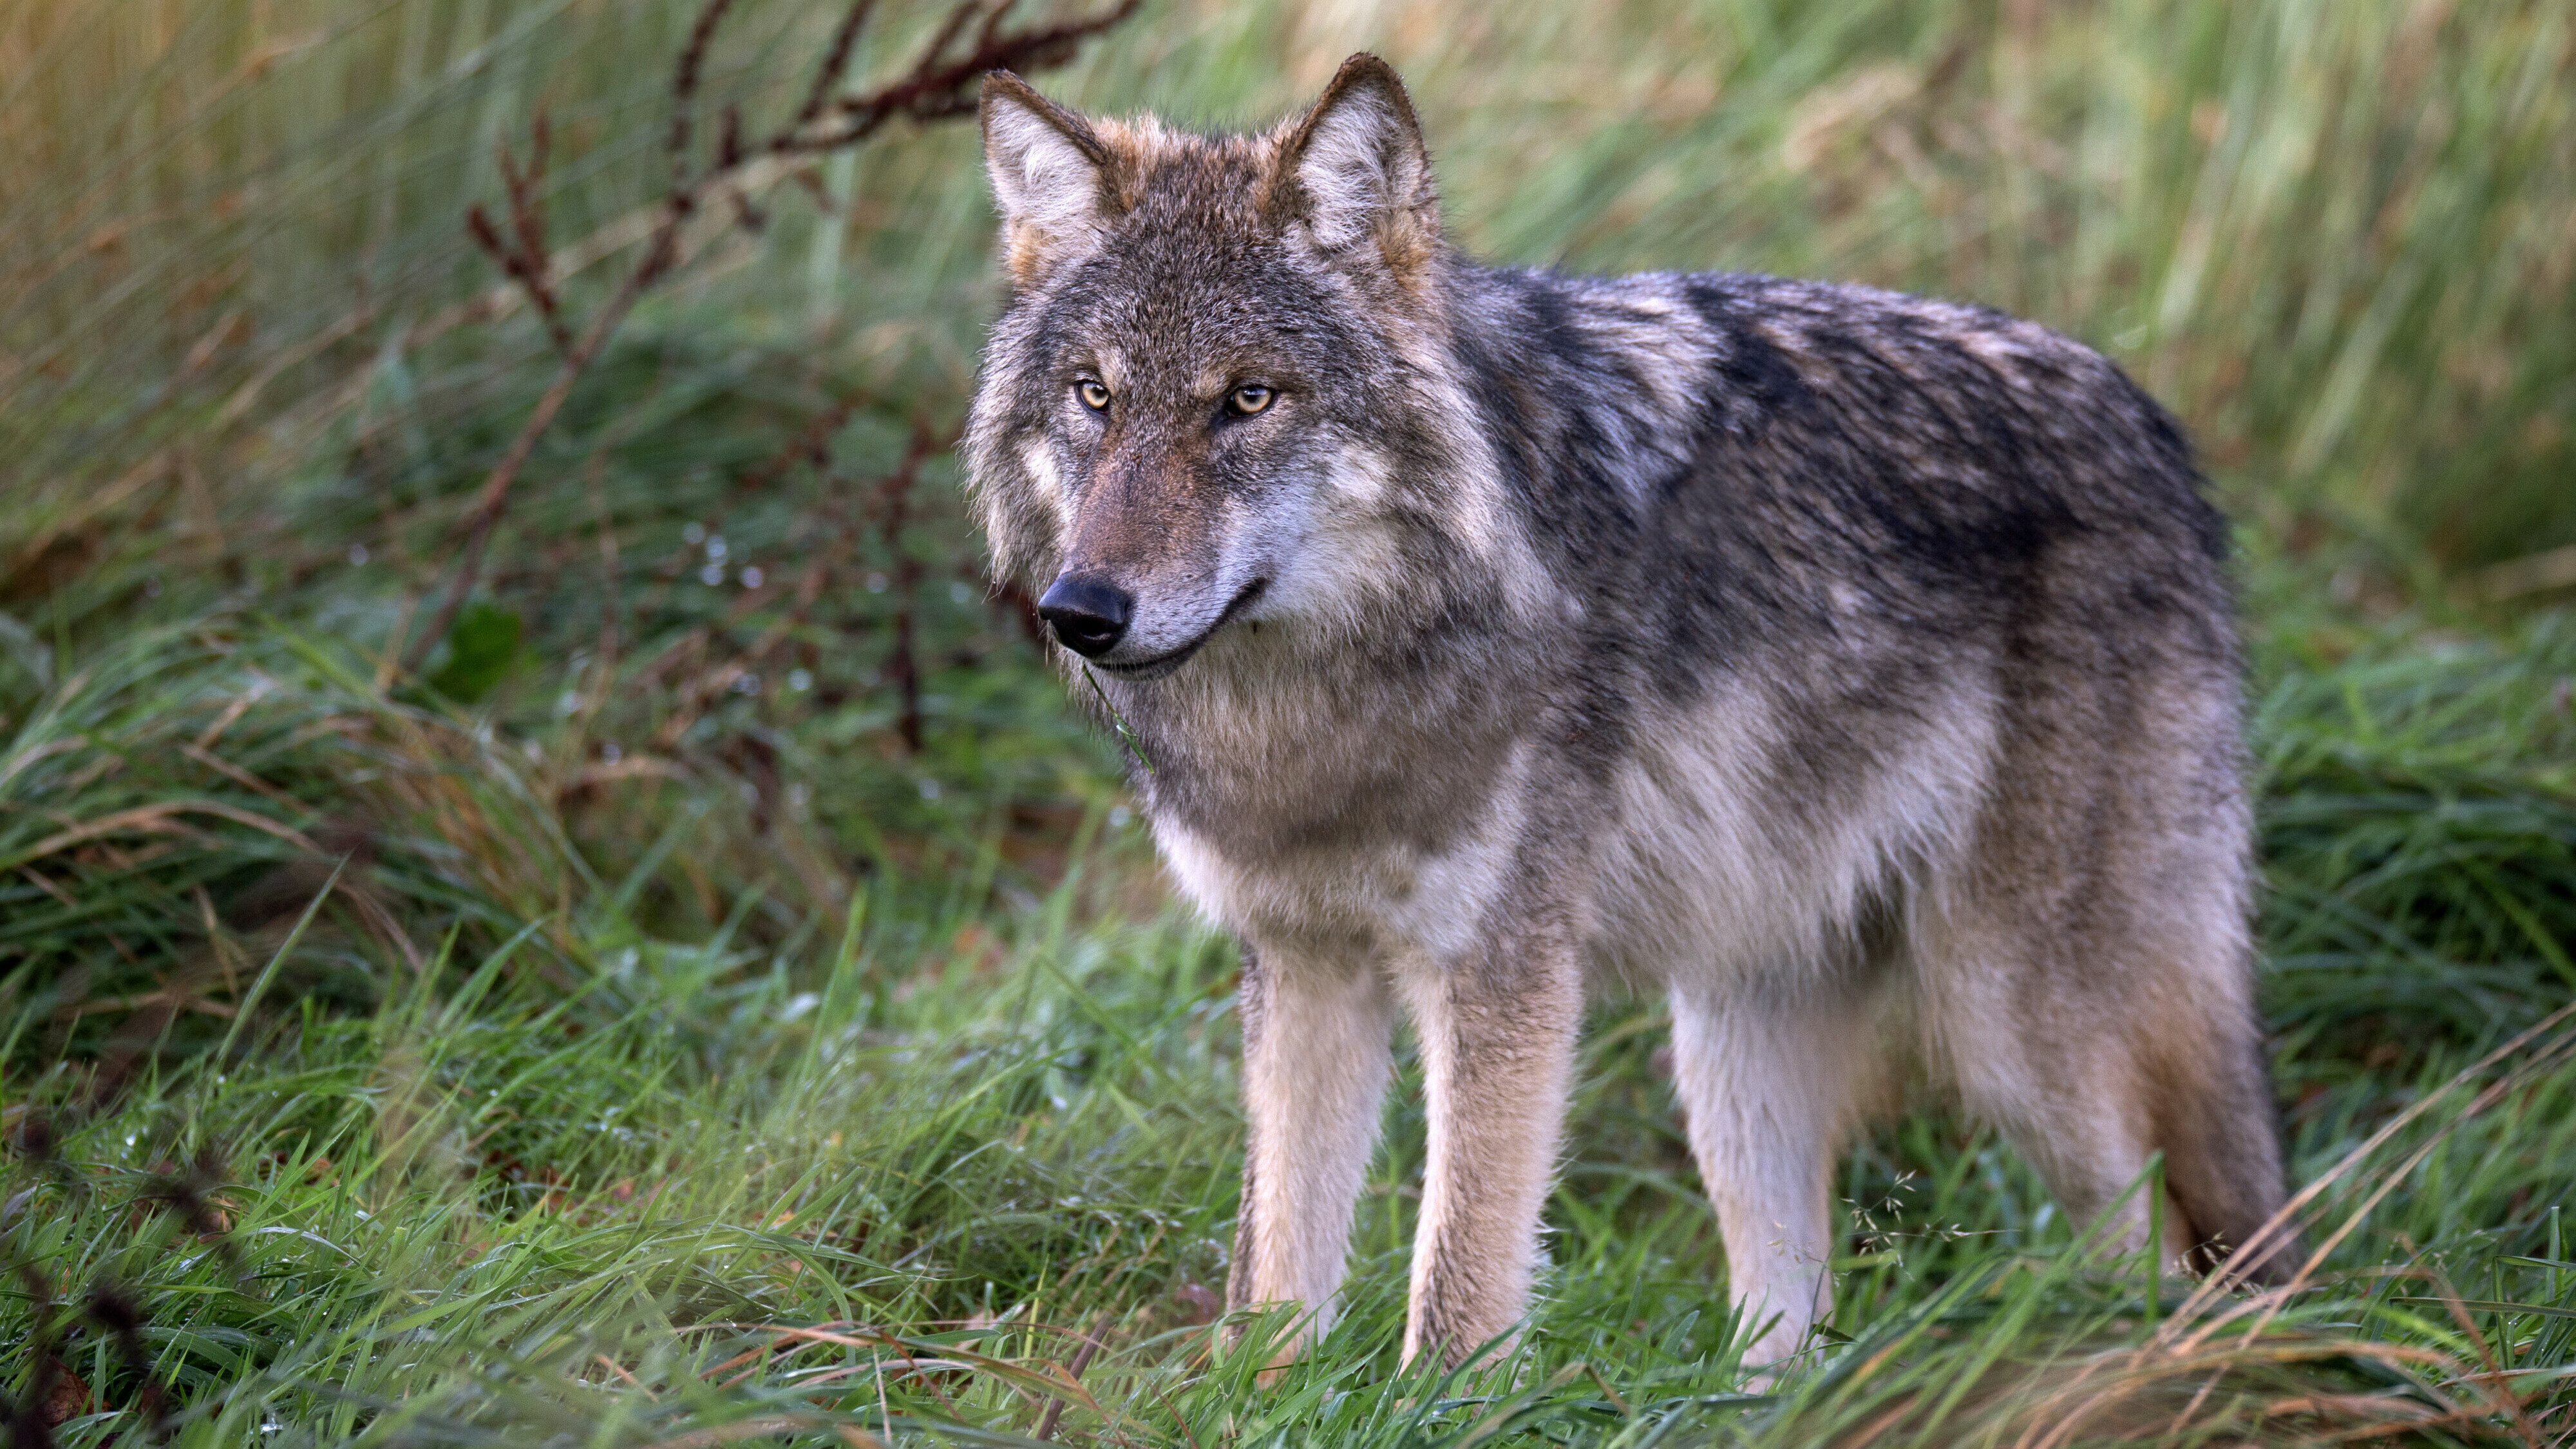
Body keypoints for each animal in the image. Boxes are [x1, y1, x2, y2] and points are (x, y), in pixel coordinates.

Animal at [963, 54, 2296, 1371]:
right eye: (1094, 395)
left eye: (1247, 399)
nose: (1081, 611)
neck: (1316, 709)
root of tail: (2152, 425)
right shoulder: (1301, 964)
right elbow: (1277, 1274)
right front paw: (1265, 1397)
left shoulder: (1505, 973)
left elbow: (1458, 1285)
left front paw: (1434, 1403)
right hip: (1734, 1042)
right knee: (1794, 1324)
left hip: (2007, 1026)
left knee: (2162, 1251)